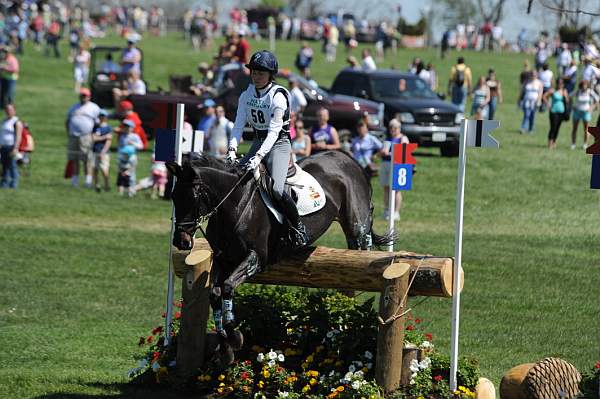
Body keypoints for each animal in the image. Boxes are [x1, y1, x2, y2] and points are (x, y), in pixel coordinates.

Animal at [168, 151, 394, 366]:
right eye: (174, 197)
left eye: (193, 197)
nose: (181, 241)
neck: (236, 206)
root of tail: (346, 157)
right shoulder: (222, 259)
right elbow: (215, 293)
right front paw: (225, 350)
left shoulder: (256, 258)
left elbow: (227, 287)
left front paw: (234, 336)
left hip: (357, 227)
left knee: (362, 253)